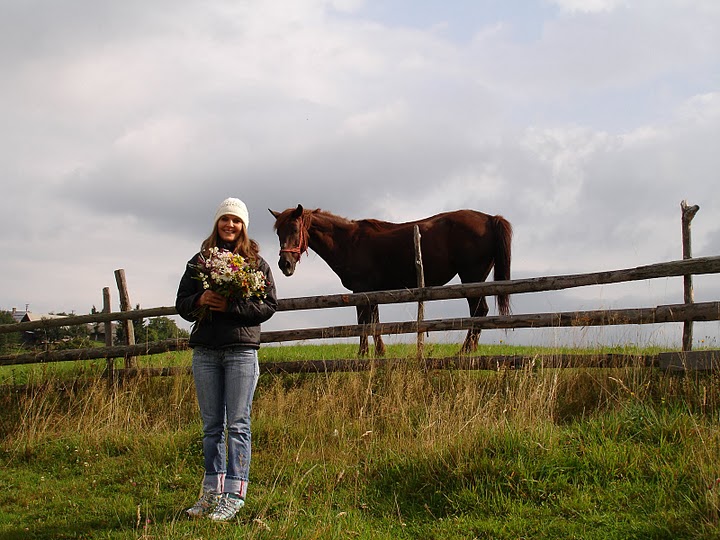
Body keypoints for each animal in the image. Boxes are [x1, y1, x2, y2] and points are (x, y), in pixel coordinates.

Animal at [270, 205, 512, 356]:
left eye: (294, 229)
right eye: (278, 232)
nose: (285, 264)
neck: (349, 242)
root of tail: (491, 219)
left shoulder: (361, 291)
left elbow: (363, 323)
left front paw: (362, 354)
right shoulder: (372, 293)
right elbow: (374, 322)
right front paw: (379, 353)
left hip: (471, 277)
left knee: (479, 311)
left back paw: (465, 350)